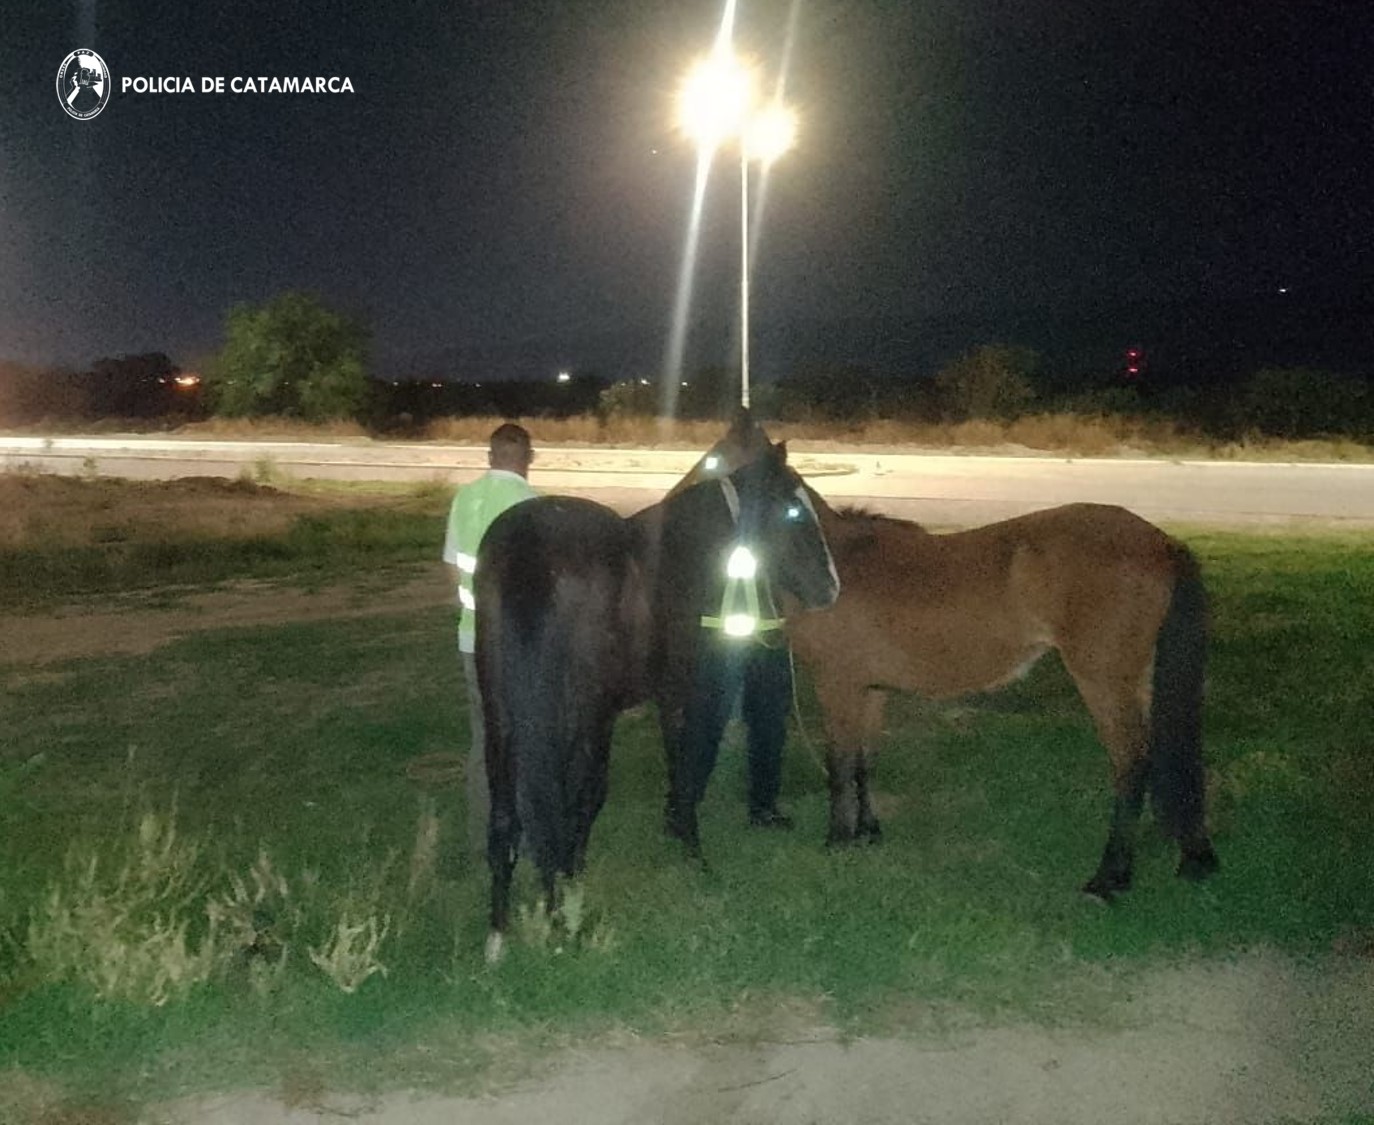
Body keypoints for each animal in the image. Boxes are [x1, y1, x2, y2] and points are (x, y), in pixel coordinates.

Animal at [472, 439, 835, 961]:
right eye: (794, 510)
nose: (831, 587)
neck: (683, 557)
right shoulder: (676, 691)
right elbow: (681, 768)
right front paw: (692, 851)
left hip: (501, 715)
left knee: (506, 816)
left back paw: (500, 932)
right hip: (578, 714)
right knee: (562, 805)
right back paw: (559, 913)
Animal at [692, 414, 1220, 895]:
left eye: (714, 460)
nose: (685, 490)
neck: (840, 562)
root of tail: (1160, 542)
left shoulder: (836, 686)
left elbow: (840, 763)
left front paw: (838, 839)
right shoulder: (871, 689)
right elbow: (865, 760)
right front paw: (867, 833)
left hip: (1104, 680)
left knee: (1131, 764)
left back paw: (1109, 878)